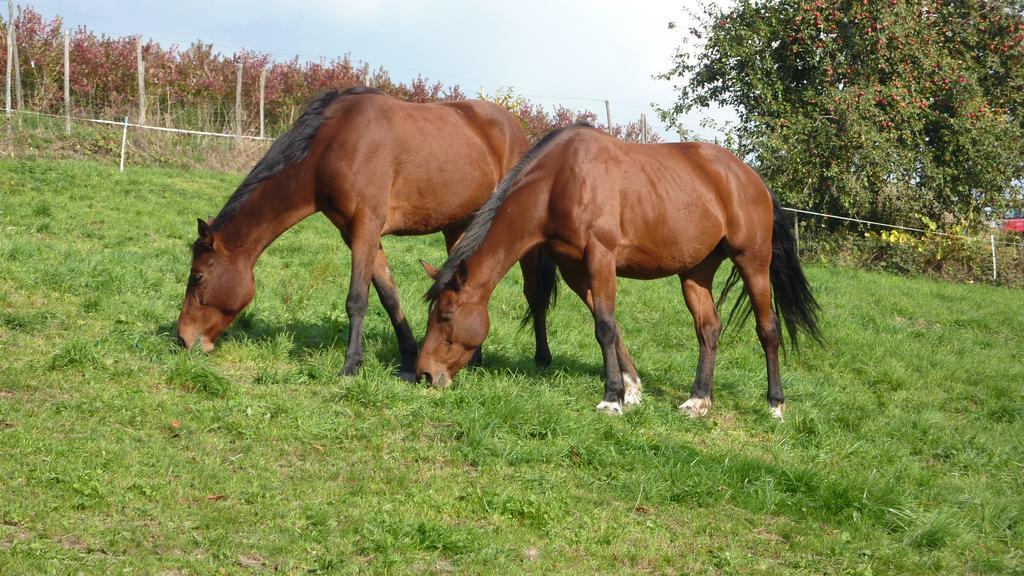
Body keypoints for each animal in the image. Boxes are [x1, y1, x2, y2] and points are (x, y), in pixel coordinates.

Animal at [179, 87, 557, 377]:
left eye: (197, 277)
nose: (183, 338)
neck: (331, 145)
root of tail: (516, 129)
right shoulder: (356, 233)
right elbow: (389, 296)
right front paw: (408, 356)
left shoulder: (366, 227)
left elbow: (357, 299)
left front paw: (351, 365)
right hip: (459, 227)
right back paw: (475, 357)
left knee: (535, 294)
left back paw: (542, 358)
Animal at [411, 121, 819, 416]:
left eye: (446, 316)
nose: (425, 373)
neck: (562, 181)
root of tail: (751, 177)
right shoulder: (576, 269)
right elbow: (609, 322)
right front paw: (632, 387)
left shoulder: (601, 257)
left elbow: (604, 326)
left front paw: (612, 398)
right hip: (696, 272)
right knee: (709, 329)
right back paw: (699, 399)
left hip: (754, 262)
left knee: (768, 329)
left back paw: (776, 404)